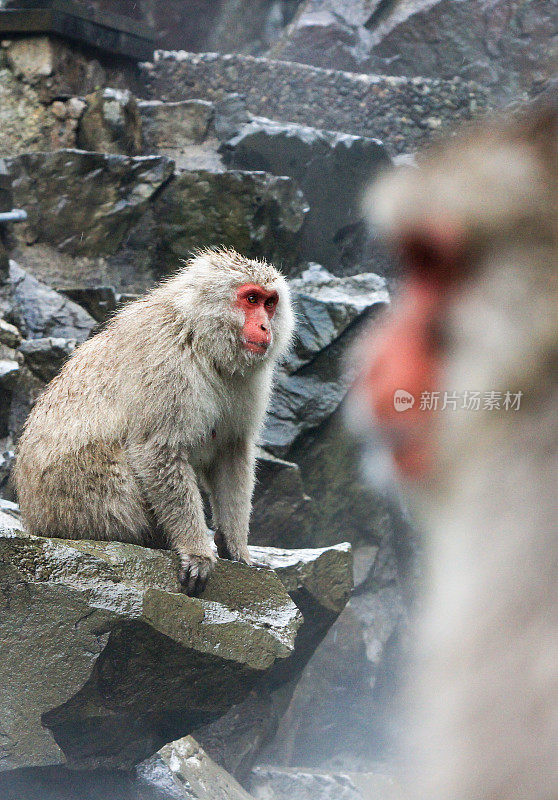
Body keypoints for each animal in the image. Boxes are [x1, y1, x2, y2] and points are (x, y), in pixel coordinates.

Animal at [13, 248, 296, 592]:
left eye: (270, 303)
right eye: (251, 298)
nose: (266, 327)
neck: (201, 338)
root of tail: (34, 520)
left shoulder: (248, 382)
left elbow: (231, 452)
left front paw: (235, 547)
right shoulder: (167, 365)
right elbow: (159, 449)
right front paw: (195, 550)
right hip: (77, 503)